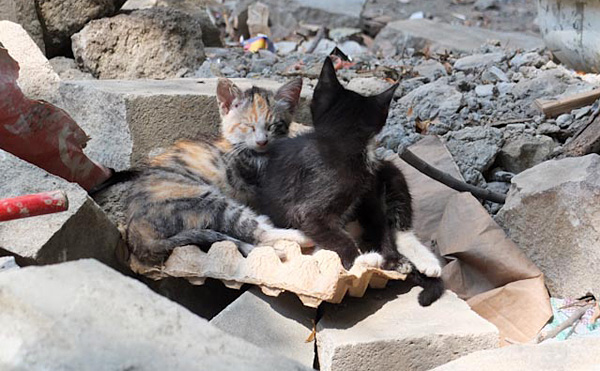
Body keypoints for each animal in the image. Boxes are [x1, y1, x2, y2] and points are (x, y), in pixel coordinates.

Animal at [124, 78, 312, 264]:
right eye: (248, 125)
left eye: (273, 125)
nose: (261, 141)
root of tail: (135, 232)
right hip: (202, 201)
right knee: (256, 232)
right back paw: (300, 236)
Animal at [255, 58, 442, 306]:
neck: (343, 140)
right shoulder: (309, 212)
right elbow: (340, 238)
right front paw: (362, 262)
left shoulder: (370, 195)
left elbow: (382, 228)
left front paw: (391, 260)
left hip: (391, 173)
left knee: (400, 228)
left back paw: (425, 262)